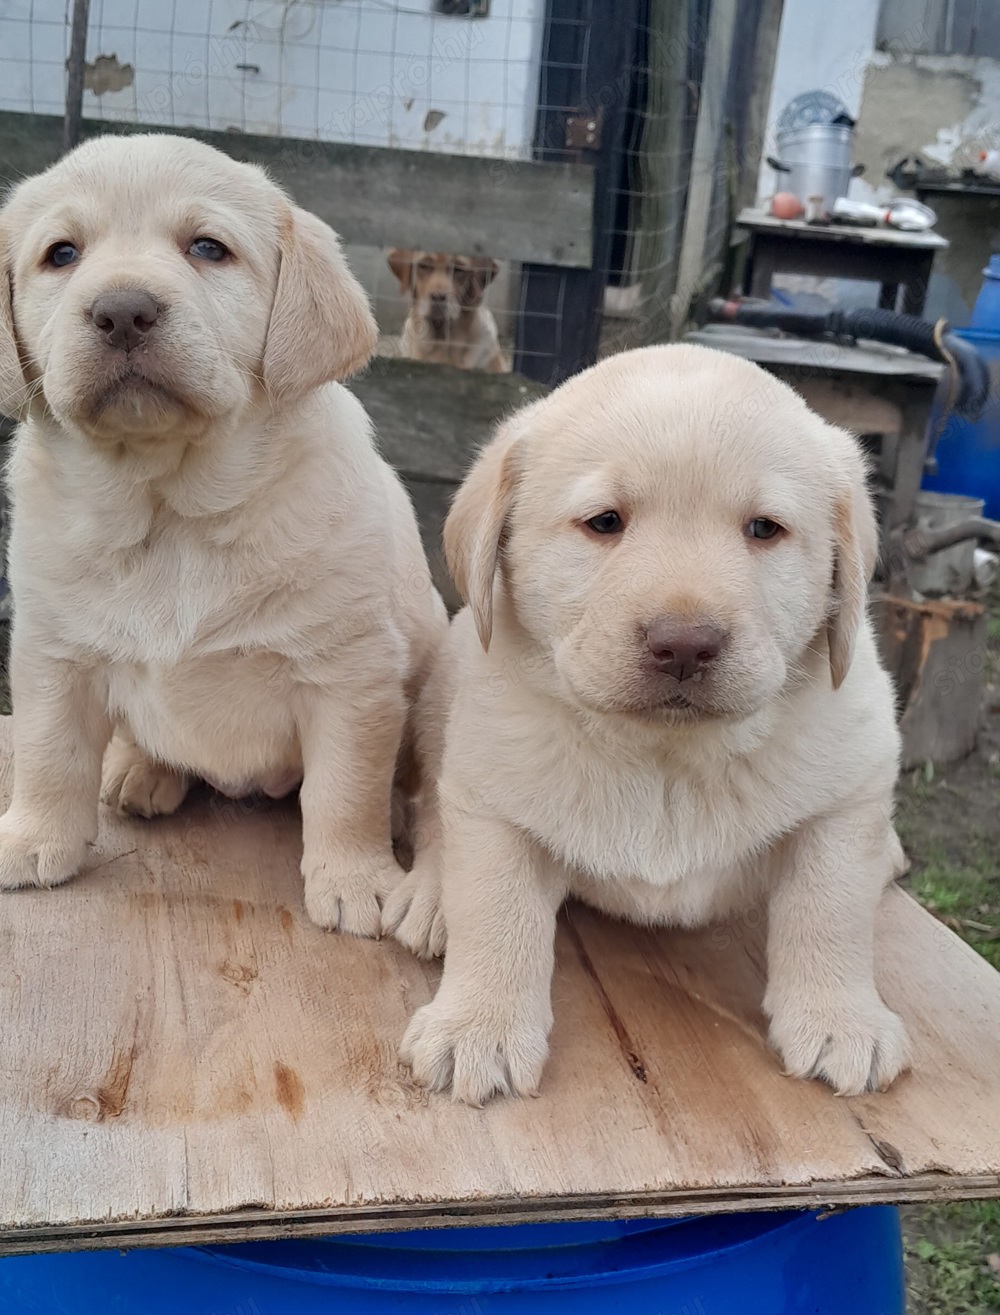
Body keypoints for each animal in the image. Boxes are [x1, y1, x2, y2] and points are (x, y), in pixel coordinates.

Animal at [0, 133, 444, 936]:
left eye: (208, 248)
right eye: (61, 254)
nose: (122, 312)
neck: (171, 512)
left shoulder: (351, 673)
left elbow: (345, 790)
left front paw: (355, 877)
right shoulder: (52, 652)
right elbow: (48, 753)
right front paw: (33, 836)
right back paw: (140, 770)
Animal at [397, 344, 905, 1104]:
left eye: (764, 528)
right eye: (605, 521)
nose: (685, 644)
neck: (667, 757)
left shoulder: (849, 794)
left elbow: (832, 905)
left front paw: (843, 1019)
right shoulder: (492, 797)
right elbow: (495, 907)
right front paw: (477, 1026)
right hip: (447, 683)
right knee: (432, 807)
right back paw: (430, 895)